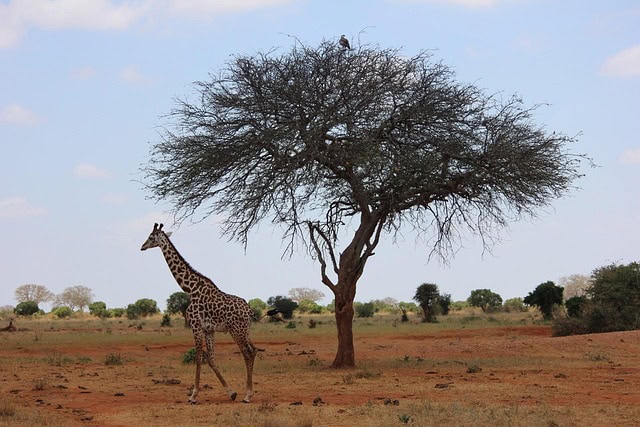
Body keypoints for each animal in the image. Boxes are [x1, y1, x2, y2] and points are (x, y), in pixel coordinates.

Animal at [141, 223, 258, 403]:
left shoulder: (195, 325)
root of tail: (249, 310)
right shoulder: (209, 329)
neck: (190, 288)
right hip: (245, 330)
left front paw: (193, 395)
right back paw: (247, 393)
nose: (142, 246)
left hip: (236, 330)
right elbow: (210, 358)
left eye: (151, 237)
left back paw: (248, 395)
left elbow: (197, 357)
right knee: (254, 350)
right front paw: (230, 392)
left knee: (247, 353)